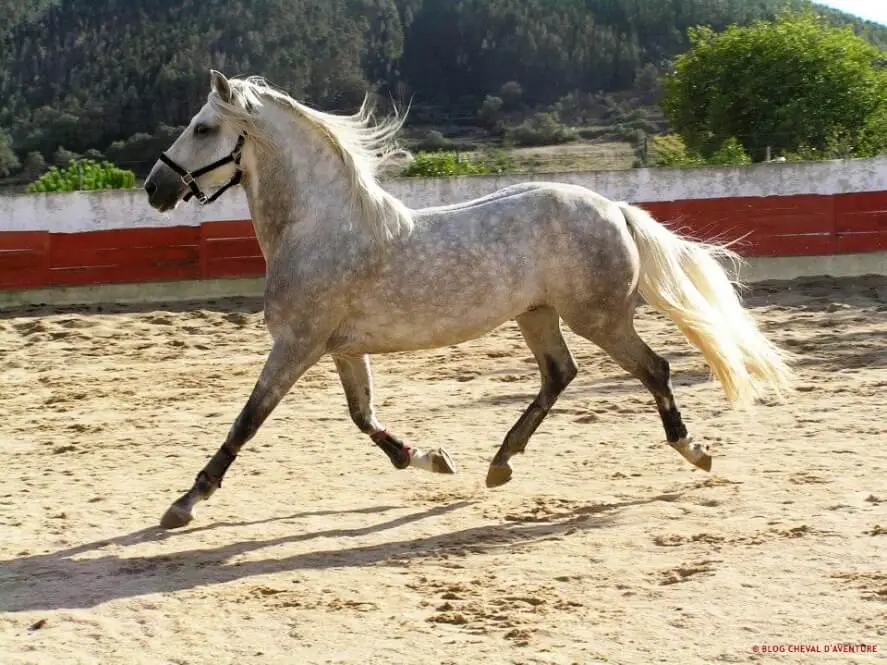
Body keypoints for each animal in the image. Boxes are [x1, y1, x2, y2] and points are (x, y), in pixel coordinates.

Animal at [144, 70, 793, 529]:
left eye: (203, 128)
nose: (156, 188)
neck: (320, 228)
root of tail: (614, 208)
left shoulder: (298, 344)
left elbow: (247, 420)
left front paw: (186, 502)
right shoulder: (341, 349)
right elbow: (364, 418)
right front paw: (430, 459)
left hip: (598, 317)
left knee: (652, 369)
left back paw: (695, 452)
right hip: (538, 316)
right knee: (560, 374)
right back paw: (500, 463)